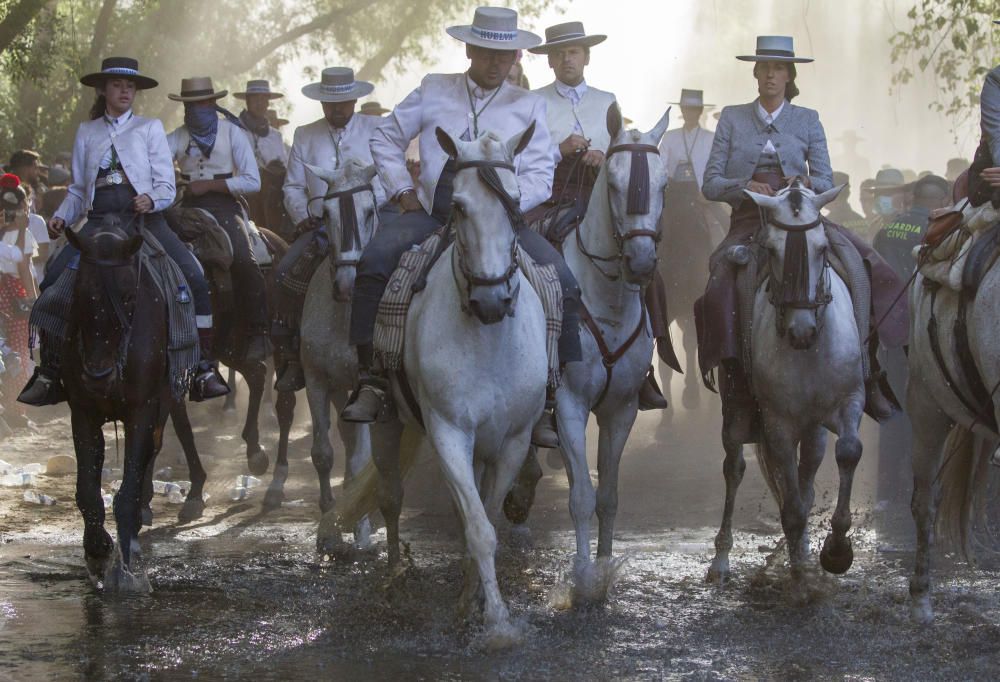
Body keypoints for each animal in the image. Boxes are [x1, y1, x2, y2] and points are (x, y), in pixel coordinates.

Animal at [264, 159, 376, 548]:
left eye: (370, 210)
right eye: (325, 213)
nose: (347, 284)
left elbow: (361, 458)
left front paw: (362, 531)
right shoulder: (316, 380)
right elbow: (323, 454)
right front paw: (330, 521)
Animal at [548, 103, 672, 596]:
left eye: (664, 184)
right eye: (615, 184)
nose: (641, 262)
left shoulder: (621, 409)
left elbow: (609, 496)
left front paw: (602, 567)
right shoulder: (569, 405)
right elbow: (581, 496)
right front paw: (583, 578)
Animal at [704, 181, 868, 580]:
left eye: (821, 248)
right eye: (773, 250)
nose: (801, 330)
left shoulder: (849, 401)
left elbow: (847, 452)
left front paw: (836, 549)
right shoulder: (777, 423)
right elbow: (789, 503)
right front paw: (800, 575)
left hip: (813, 430)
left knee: (806, 475)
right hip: (737, 413)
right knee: (735, 468)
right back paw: (721, 560)